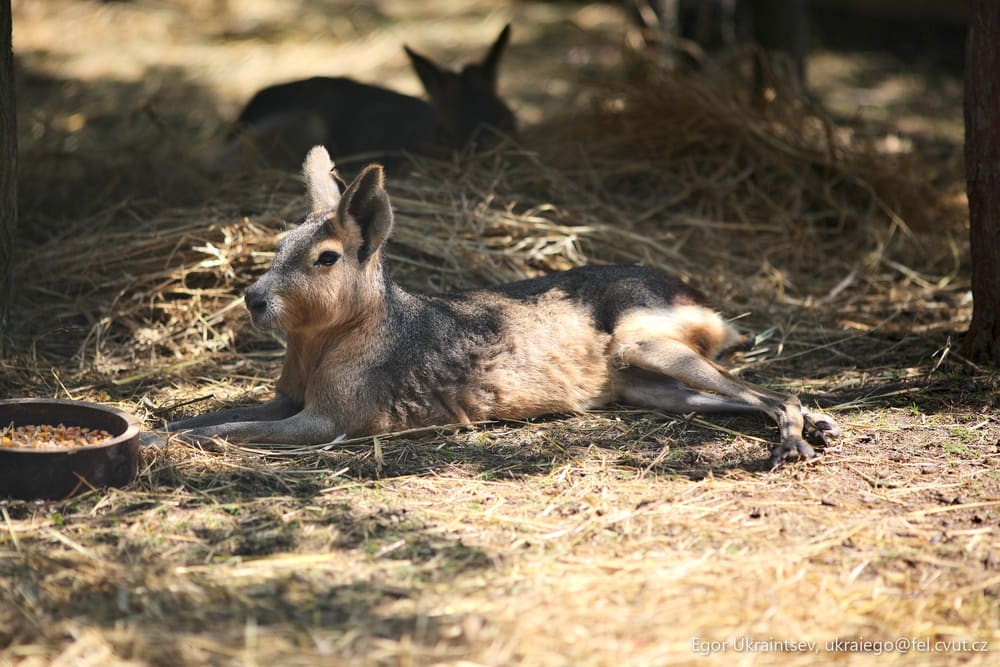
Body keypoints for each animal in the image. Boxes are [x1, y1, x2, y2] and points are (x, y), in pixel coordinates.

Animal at [169, 146, 841, 469]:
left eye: (326, 258)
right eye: (280, 244)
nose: (255, 300)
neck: (322, 341)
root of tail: (696, 297)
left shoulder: (329, 421)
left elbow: (227, 431)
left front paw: (159, 442)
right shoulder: (286, 400)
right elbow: (213, 417)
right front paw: (163, 427)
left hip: (644, 345)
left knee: (777, 393)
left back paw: (796, 441)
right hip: (645, 386)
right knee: (742, 396)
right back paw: (820, 426)